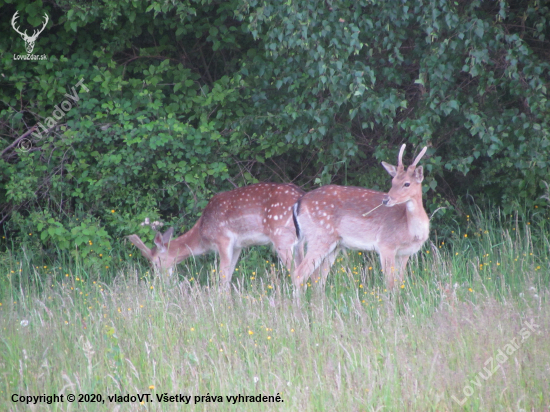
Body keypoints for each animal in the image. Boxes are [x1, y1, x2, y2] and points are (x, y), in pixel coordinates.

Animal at [128, 183, 306, 286]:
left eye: (155, 262)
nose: (160, 283)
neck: (202, 234)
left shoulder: (223, 239)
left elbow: (222, 276)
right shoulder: (238, 246)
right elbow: (229, 276)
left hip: (282, 236)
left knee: (297, 273)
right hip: (300, 241)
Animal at [294, 144, 432, 290]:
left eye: (407, 183)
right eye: (393, 181)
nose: (386, 200)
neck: (410, 230)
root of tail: (299, 203)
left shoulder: (405, 253)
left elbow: (399, 283)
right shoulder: (385, 244)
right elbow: (389, 284)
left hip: (334, 244)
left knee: (317, 278)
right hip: (319, 237)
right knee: (299, 274)